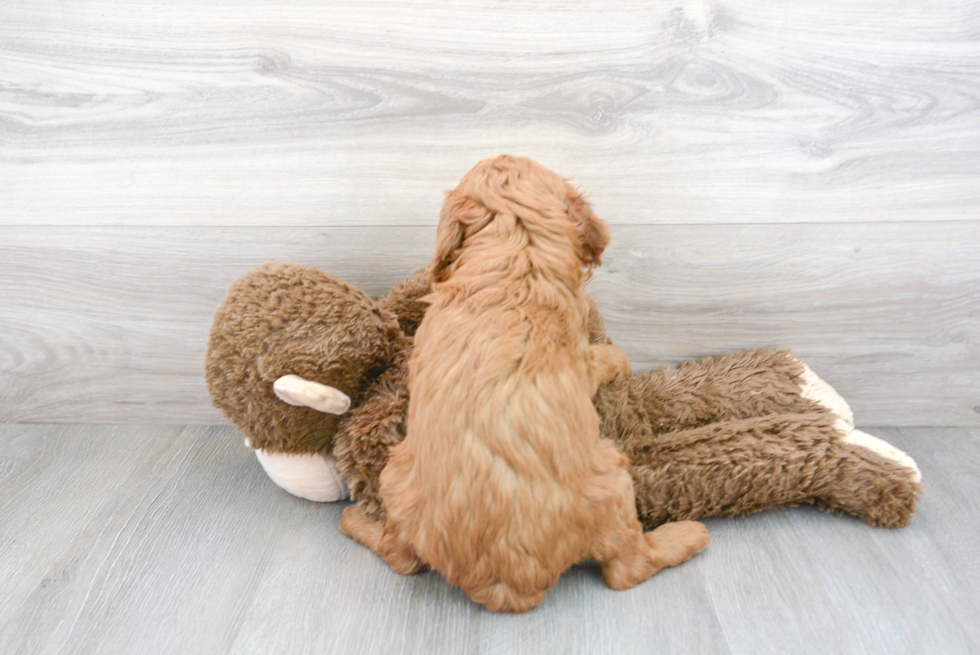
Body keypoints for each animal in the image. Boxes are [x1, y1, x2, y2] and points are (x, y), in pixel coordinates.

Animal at [340, 156, 708, 612]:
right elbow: (605, 357)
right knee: (627, 569)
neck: (516, 246)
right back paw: (687, 535)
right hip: (614, 481)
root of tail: (507, 586)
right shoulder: (581, 357)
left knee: (401, 557)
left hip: (396, 476)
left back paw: (354, 520)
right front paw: (620, 360)